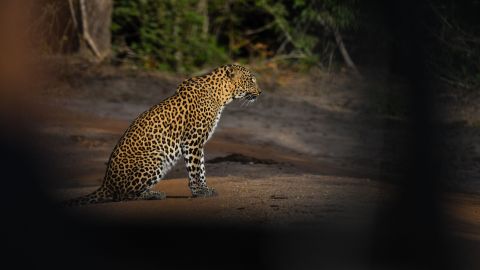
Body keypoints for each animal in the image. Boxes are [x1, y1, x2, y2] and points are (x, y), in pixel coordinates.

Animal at [64, 63, 262, 207]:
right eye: (251, 81)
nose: (261, 92)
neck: (222, 95)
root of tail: (106, 183)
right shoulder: (192, 141)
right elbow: (195, 170)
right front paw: (199, 192)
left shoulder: (199, 143)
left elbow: (202, 168)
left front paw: (205, 189)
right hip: (156, 157)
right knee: (121, 195)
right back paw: (154, 194)